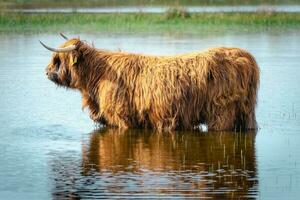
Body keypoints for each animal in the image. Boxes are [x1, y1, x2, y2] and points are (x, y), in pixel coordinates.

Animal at [41, 35, 258, 132]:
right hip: (246, 112)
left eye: (57, 60)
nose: (46, 72)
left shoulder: (121, 117)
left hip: (222, 111)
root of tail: (244, 56)